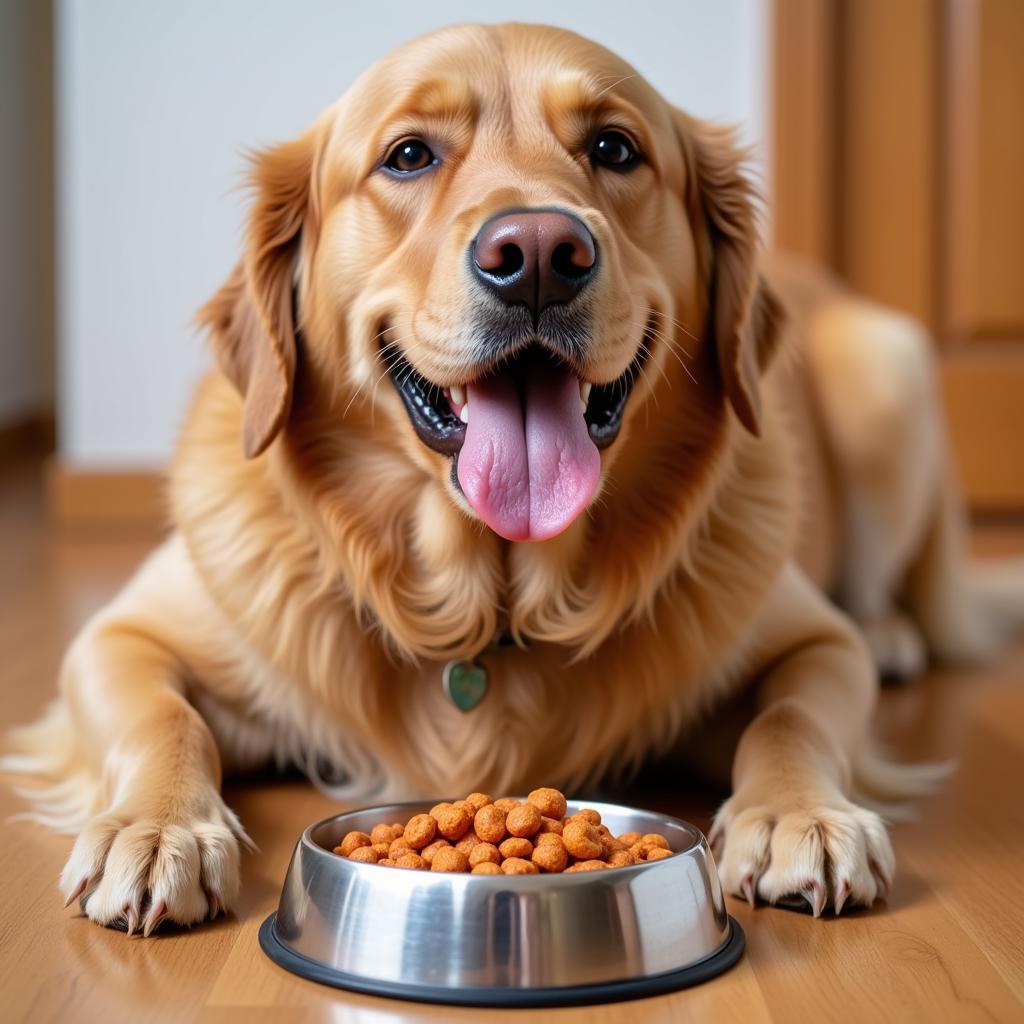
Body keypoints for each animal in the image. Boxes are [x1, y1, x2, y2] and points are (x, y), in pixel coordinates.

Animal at [8, 24, 1024, 937]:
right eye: (409, 155)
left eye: (614, 147)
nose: (537, 254)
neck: (489, 602)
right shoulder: (123, 636)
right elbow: (163, 719)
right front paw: (155, 830)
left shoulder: (811, 640)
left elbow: (792, 717)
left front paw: (800, 816)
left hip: (890, 367)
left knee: (892, 601)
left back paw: (891, 634)